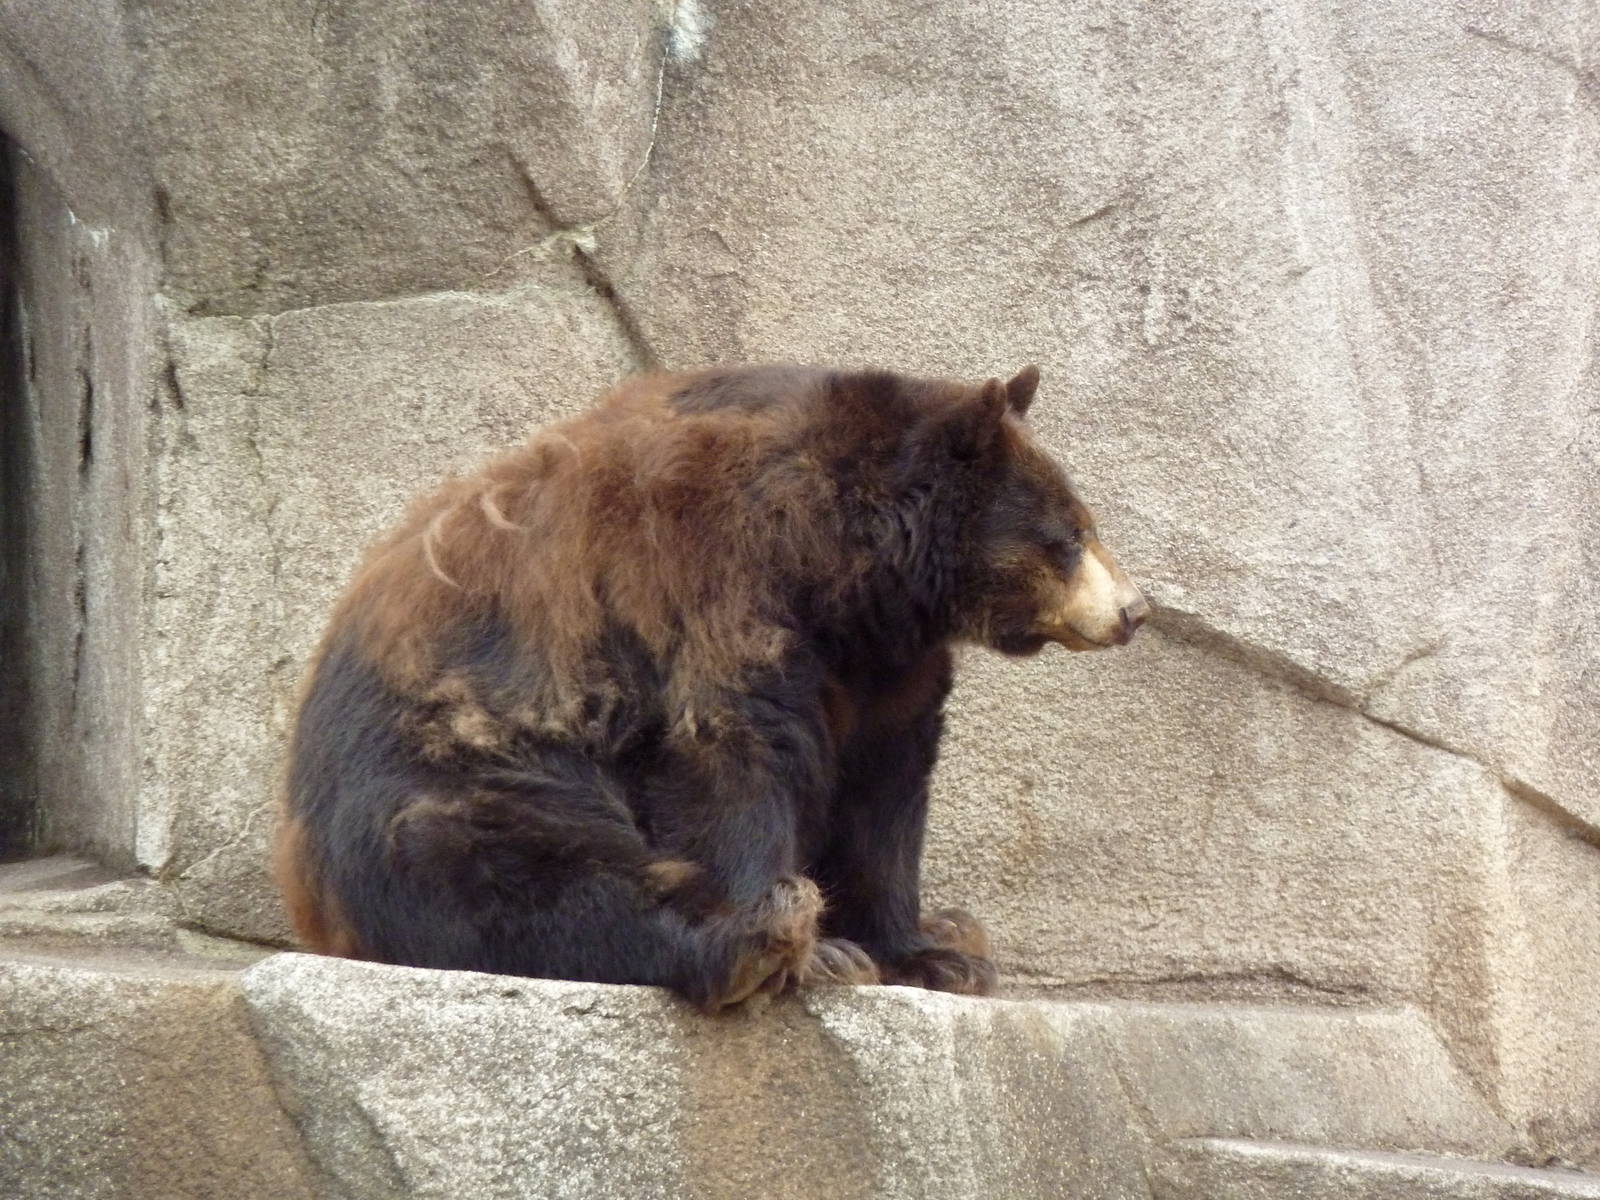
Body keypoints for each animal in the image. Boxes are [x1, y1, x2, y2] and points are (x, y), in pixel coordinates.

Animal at [273, 363, 1148, 1011]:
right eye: (1071, 535)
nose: (1136, 609)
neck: (840, 565)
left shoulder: (883, 669)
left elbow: (884, 798)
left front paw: (924, 953)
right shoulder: (706, 577)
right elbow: (730, 755)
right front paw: (828, 948)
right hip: (456, 771)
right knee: (536, 873)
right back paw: (759, 940)